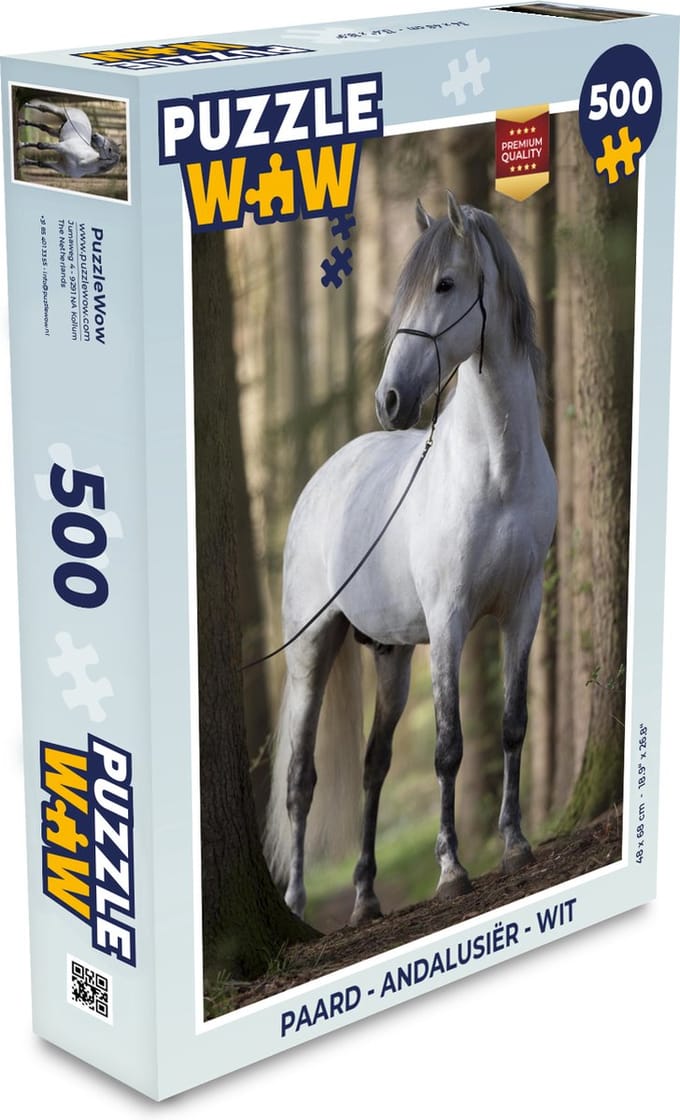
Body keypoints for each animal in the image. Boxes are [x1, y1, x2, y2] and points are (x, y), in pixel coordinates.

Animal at [265, 191, 557, 927]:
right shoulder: (449, 623)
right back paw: (298, 903)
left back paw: (367, 897)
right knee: (301, 779)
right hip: (312, 651)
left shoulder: (523, 609)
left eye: (445, 284)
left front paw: (515, 845)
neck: (496, 471)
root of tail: (321, 481)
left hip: (391, 656)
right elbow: (449, 747)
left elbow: (512, 726)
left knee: (374, 763)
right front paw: (452, 871)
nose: (390, 400)